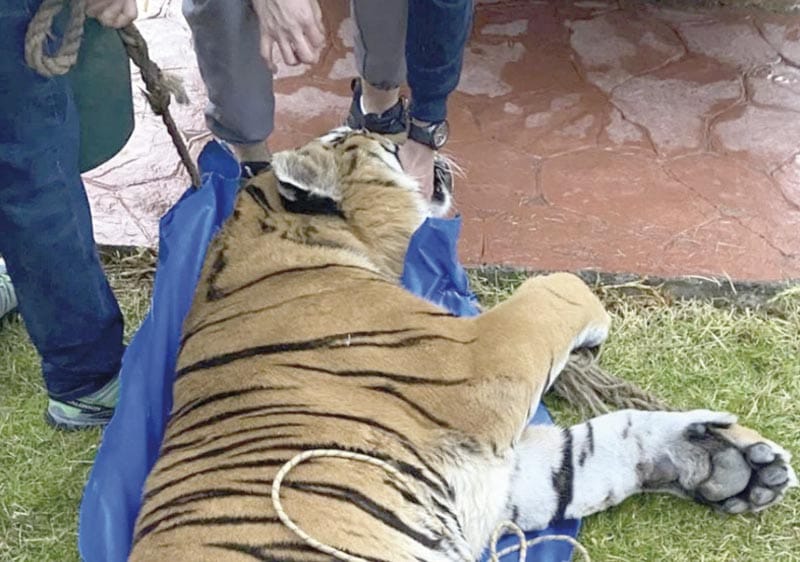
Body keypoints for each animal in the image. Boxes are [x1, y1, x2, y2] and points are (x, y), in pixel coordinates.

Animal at [129, 127, 797, 562]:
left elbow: (591, 450)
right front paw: (595, 328)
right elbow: (559, 285)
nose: (396, 122)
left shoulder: (492, 480)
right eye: (359, 136)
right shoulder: (482, 362)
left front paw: (728, 463)